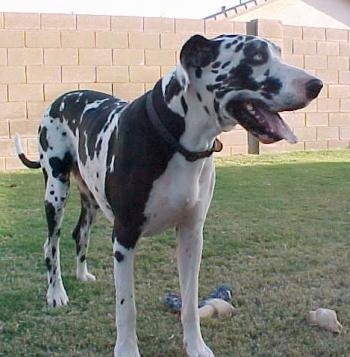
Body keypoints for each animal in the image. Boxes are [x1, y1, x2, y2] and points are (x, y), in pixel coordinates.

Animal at [16, 34, 322, 356]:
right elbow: (126, 307)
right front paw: (126, 350)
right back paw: (56, 293)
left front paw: (196, 346)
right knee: (51, 244)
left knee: (80, 234)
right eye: (256, 56)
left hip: (91, 200)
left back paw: (82, 274)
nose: (317, 85)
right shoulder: (124, 237)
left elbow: (189, 303)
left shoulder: (191, 235)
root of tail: (60, 99)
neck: (179, 141)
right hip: (55, 191)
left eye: (278, 52)